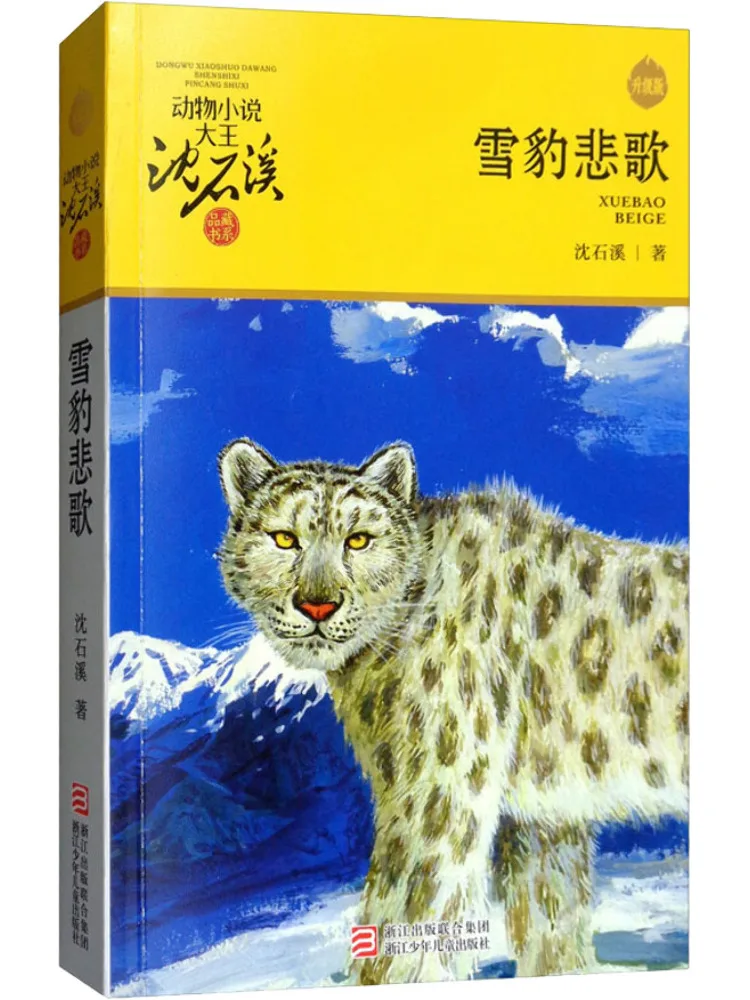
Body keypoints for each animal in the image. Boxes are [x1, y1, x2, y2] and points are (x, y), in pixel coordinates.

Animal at [217, 438, 688, 984]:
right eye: (284, 538)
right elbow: (551, 919)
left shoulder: (438, 790)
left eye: (358, 540)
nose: (318, 605)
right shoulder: (544, 817)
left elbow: (406, 914)